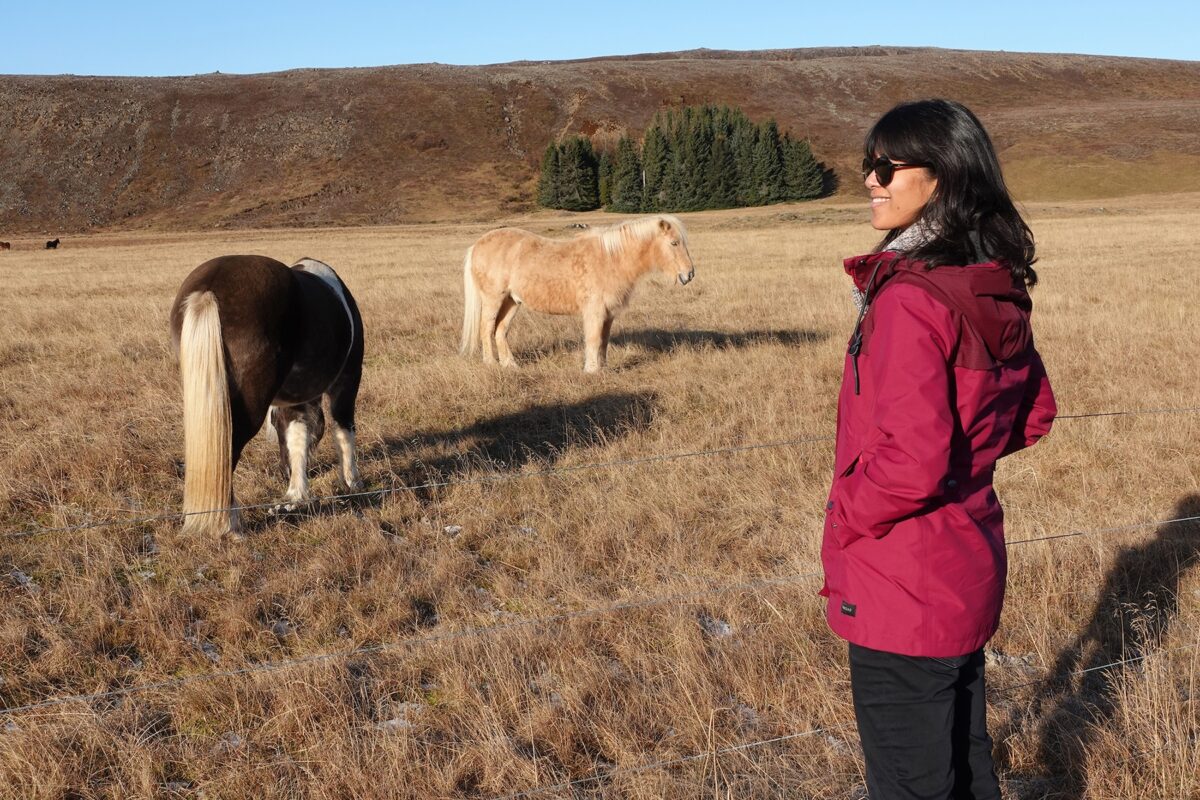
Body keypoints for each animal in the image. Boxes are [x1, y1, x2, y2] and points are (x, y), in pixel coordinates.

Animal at [169, 255, 364, 538]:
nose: (284, 473)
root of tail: (208, 289)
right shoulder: (347, 381)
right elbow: (343, 430)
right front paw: (351, 481)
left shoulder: (296, 398)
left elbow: (296, 436)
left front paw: (296, 493)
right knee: (228, 454)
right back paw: (229, 526)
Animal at [460, 214, 695, 372]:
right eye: (674, 243)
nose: (689, 274)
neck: (610, 259)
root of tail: (477, 245)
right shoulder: (594, 311)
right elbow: (593, 339)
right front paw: (591, 370)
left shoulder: (608, 314)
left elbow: (603, 341)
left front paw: (603, 369)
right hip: (493, 299)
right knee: (486, 328)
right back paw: (491, 364)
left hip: (511, 301)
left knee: (500, 330)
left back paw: (510, 365)